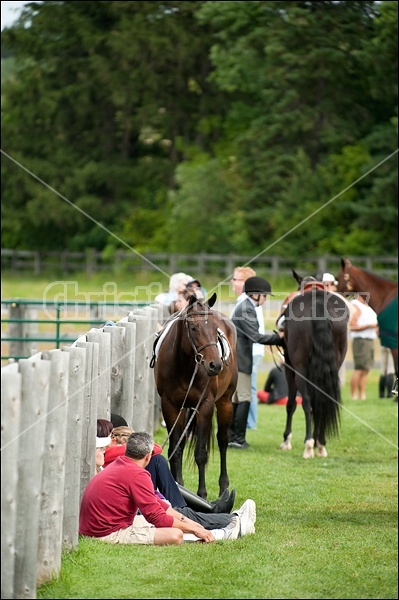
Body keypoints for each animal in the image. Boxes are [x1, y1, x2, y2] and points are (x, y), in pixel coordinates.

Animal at [151, 294, 238, 496]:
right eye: (193, 328)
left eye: (215, 329)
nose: (215, 365)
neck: (184, 365)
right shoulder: (170, 405)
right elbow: (175, 450)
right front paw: (178, 485)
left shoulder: (205, 405)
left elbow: (201, 454)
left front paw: (202, 494)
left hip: (225, 402)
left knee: (223, 440)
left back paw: (223, 486)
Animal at [282, 274, 350, 458]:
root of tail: (318, 303)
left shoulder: (289, 367)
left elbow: (291, 404)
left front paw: (287, 440)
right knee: (324, 400)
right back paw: (320, 444)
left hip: (299, 370)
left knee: (305, 402)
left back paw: (308, 445)